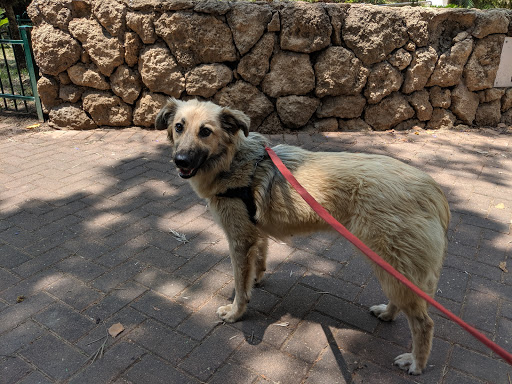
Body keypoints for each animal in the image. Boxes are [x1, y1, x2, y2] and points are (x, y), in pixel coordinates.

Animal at [155, 97, 448, 374]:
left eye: (205, 131)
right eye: (179, 127)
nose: (180, 161)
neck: (234, 160)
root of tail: (433, 190)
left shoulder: (239, 240)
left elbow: (240, 284)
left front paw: (236, 311)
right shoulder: (256, 233)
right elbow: (259, 261)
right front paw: (257, 279)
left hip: (392, 262)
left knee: (424, 323)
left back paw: (416, 362)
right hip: (390, 264)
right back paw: (387, 314)